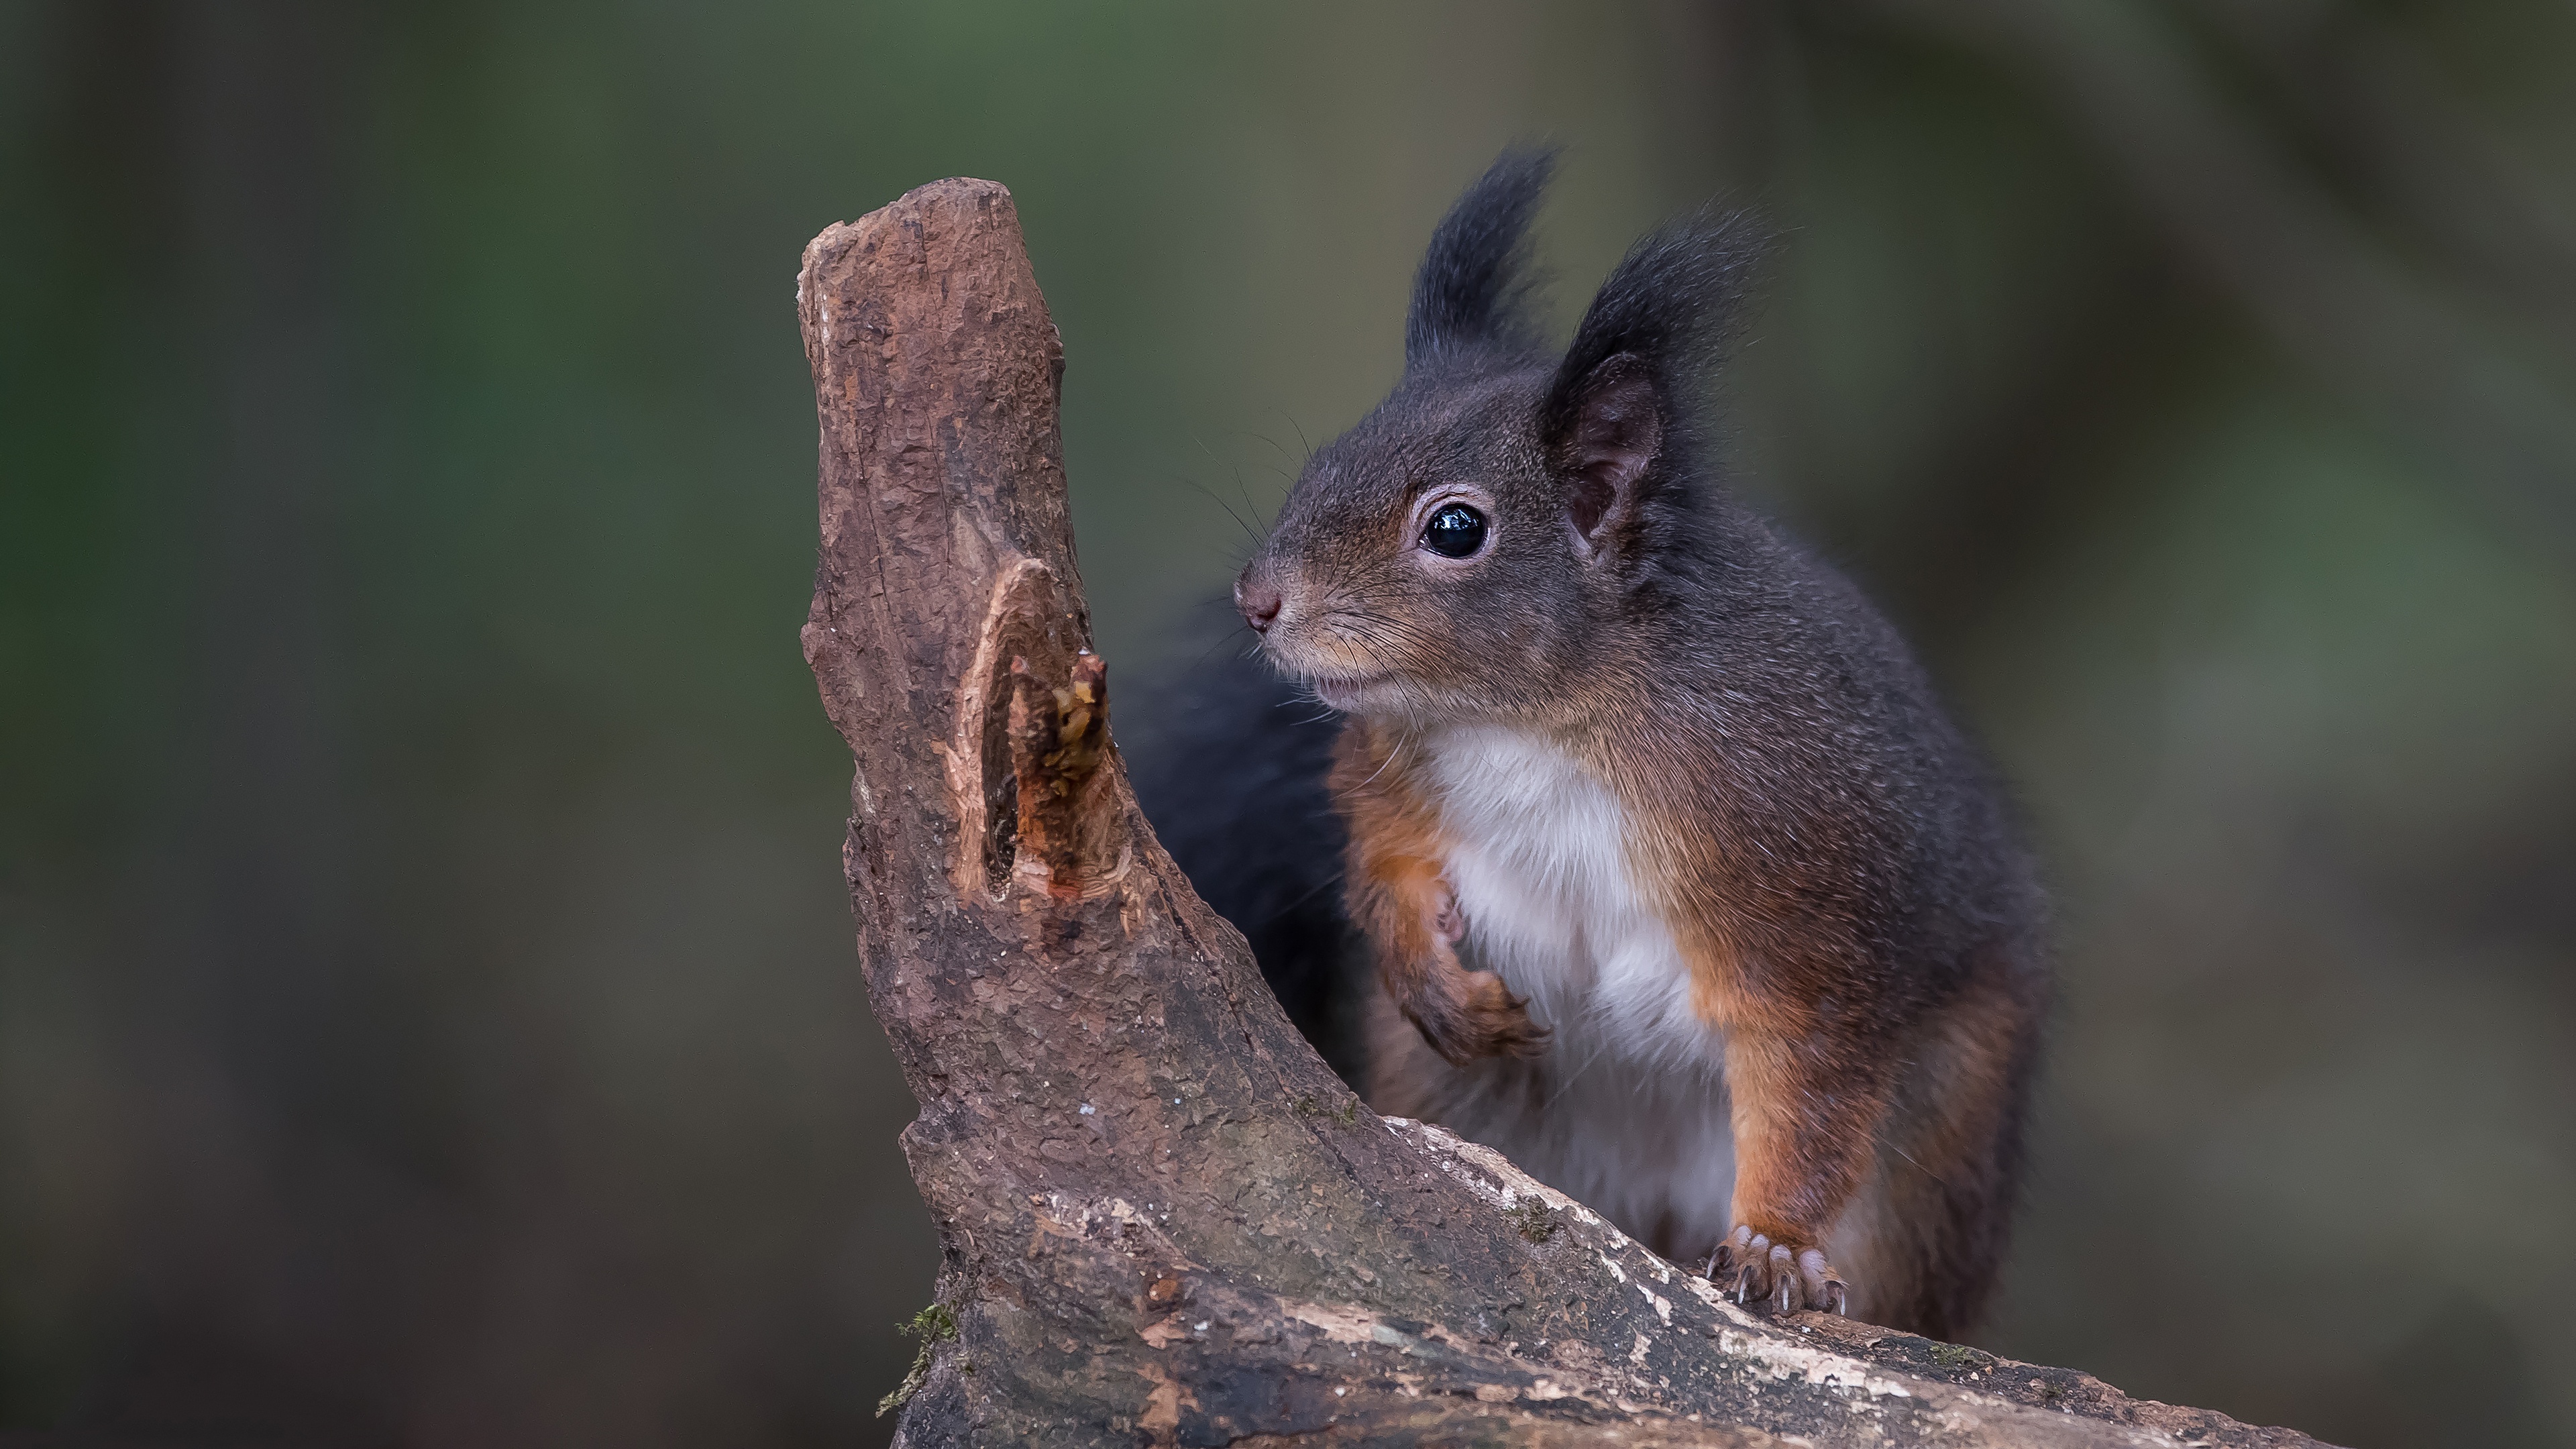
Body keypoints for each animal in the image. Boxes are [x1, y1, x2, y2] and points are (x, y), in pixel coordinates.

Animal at [1138, 152, 2040, 1340]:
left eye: (1456, 528)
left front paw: (1775, 1244)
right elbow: (1378, 858)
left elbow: (1812, 1075)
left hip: (1936, 1149)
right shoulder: (1388, 765)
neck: (1534, 724)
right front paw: (1430, 978)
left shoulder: (1808, 879)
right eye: (1328, 455)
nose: (1258, 601)